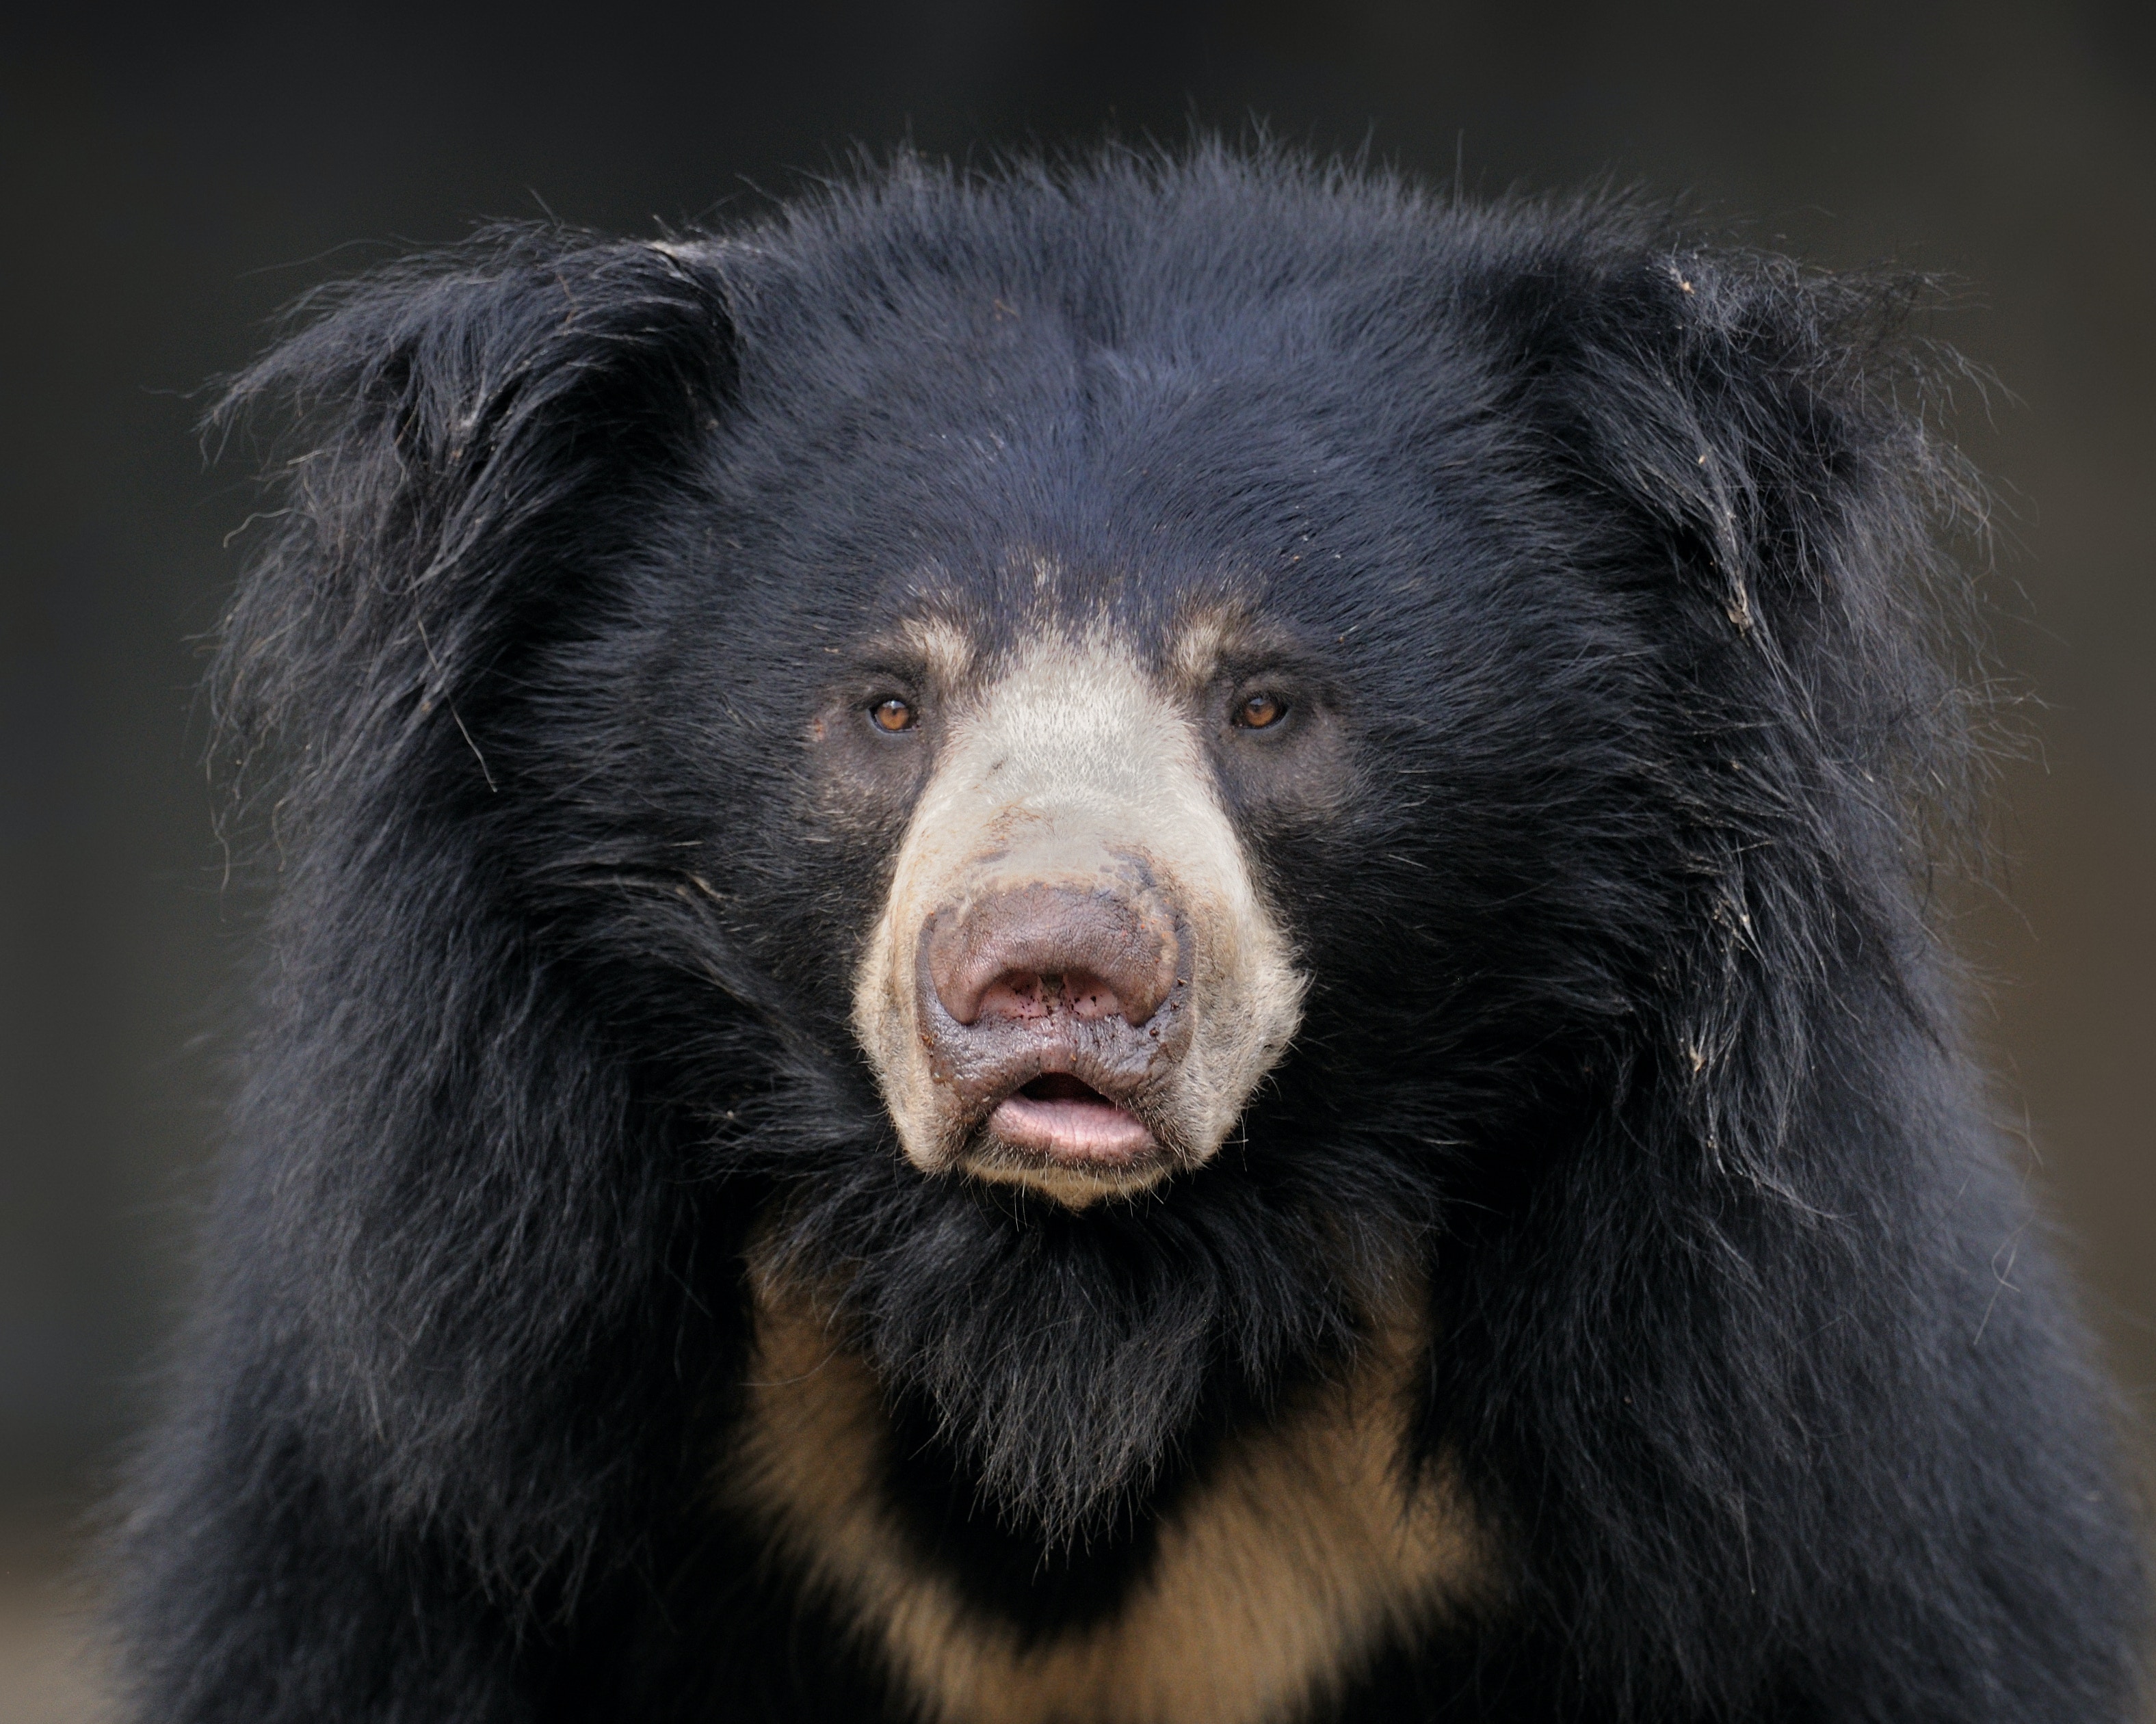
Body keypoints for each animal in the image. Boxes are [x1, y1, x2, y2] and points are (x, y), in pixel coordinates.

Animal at [111, 144, 2147, 1723]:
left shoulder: (1765, 1448)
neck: (1084, 1318)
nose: (1053, 971)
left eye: (1267, 703)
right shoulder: (459, 1455)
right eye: (885, 704)